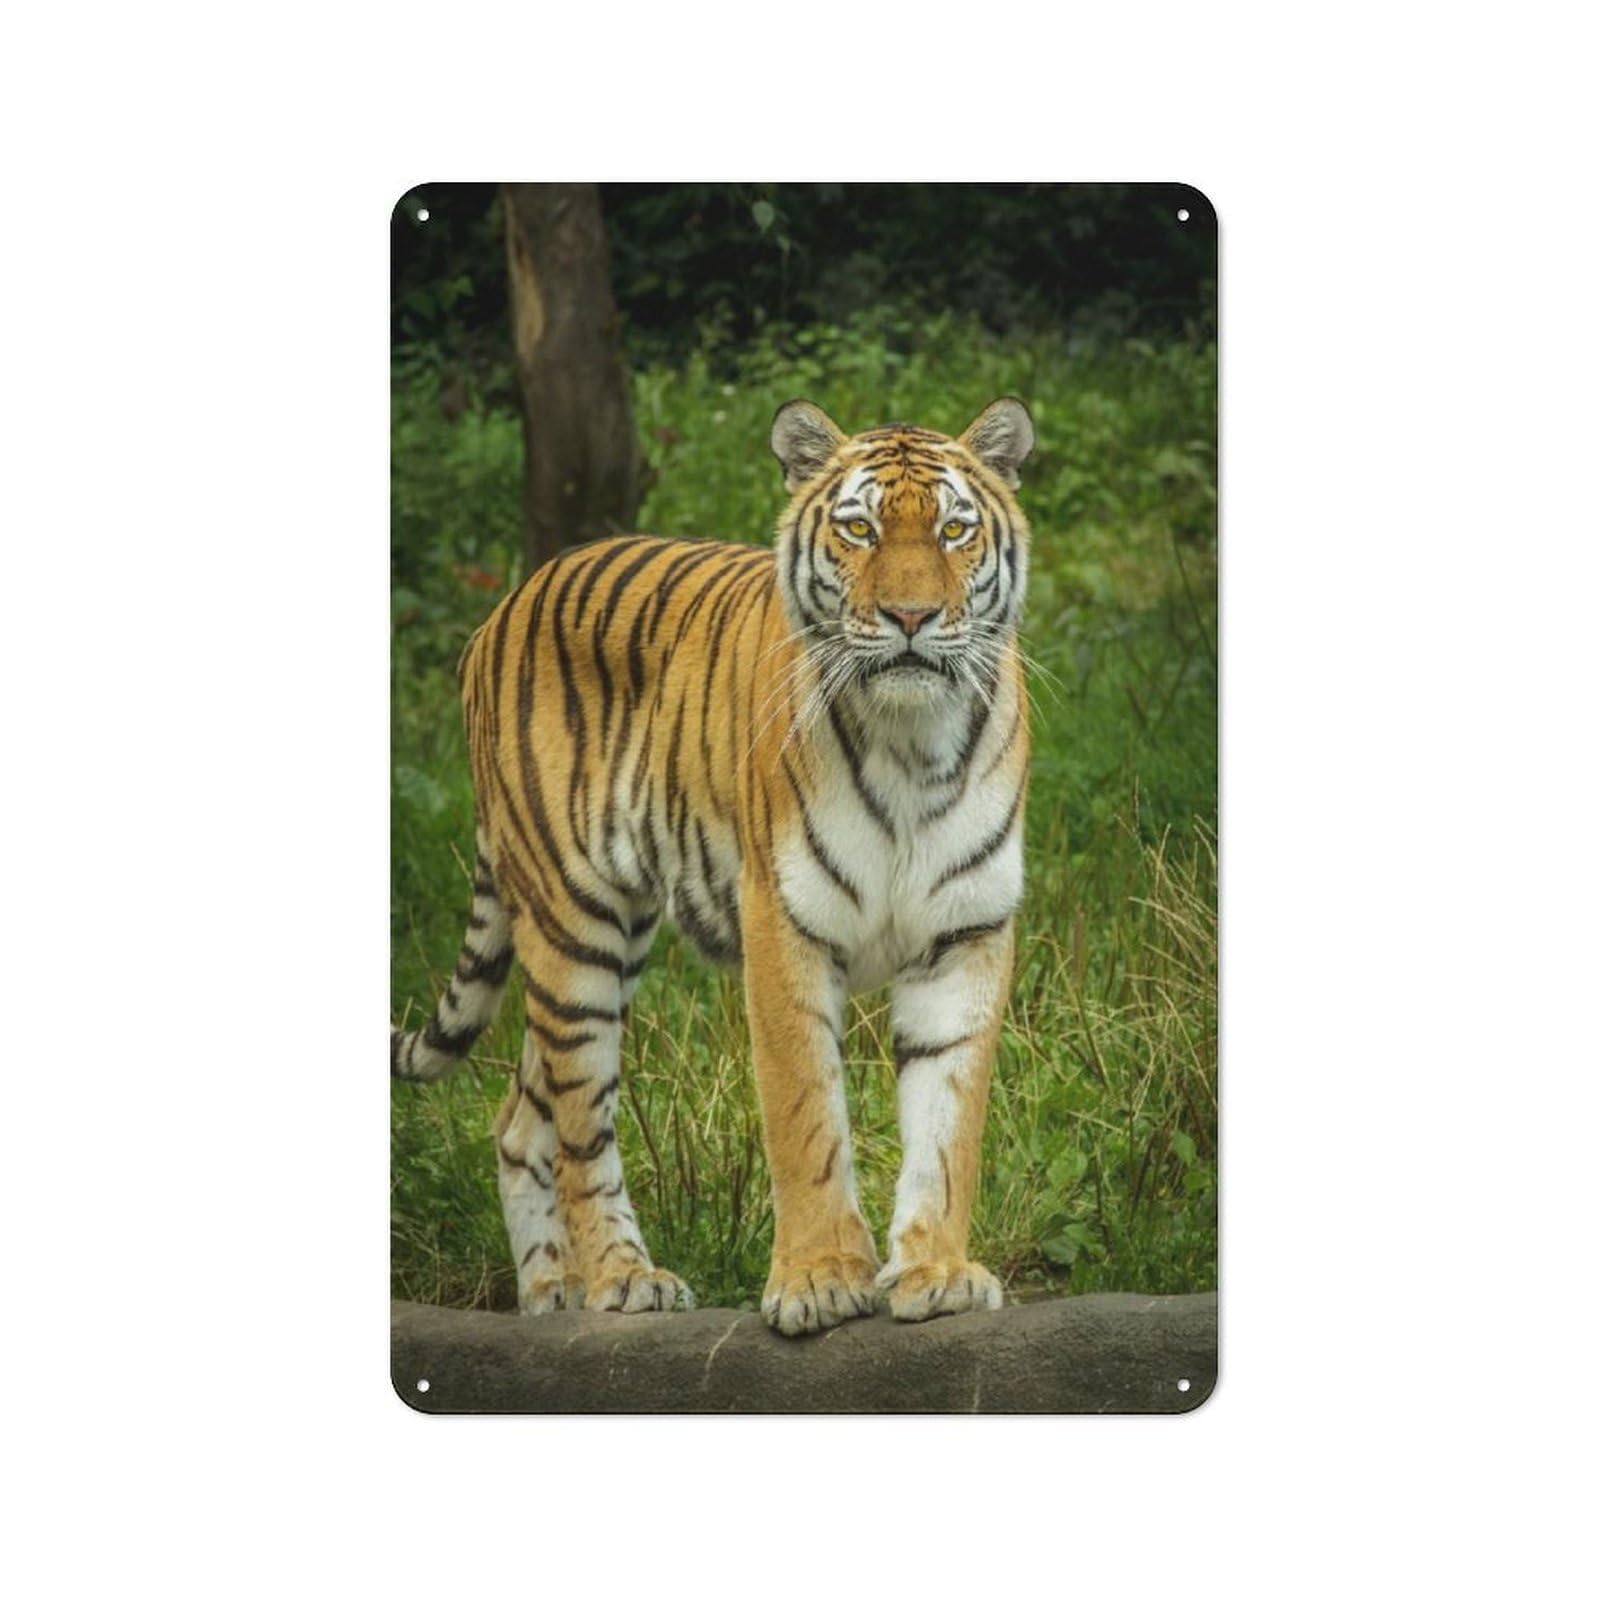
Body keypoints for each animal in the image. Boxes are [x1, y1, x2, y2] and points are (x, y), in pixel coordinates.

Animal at [391, 396, 1035, 1335]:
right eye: (859, 529)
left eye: (955, 530)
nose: (912, 618)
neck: (911, 743)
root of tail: (510, 600)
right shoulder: (784, 922)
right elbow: (805, 1115)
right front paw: (819, 1279)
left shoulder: (967, 932)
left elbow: (949, 1123)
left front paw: (938, 1272)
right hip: (573, 928)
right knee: (580, 1123)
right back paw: (622, 1279)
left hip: (604, 941)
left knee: (520, 1119)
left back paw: (548, 1296)